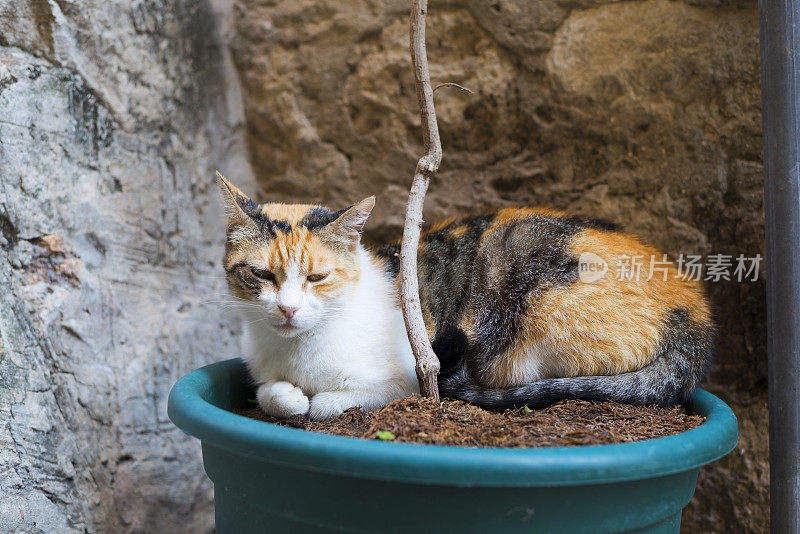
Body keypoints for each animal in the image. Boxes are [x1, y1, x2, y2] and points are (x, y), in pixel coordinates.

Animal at [217, 174, 712, 420]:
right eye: (261, 274)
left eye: (317, 277)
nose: (288, 308)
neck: (297, 354)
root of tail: (695, 308)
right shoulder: (262, 372)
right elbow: (268, 393)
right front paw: (288, 396)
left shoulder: (412, 376)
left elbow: (332, 402)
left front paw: (316, 402)